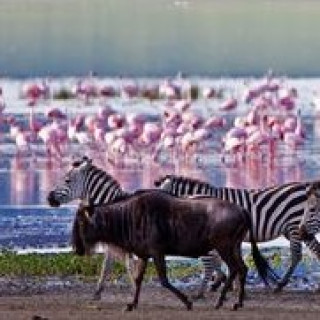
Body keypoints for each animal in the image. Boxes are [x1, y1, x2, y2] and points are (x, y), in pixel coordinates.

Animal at [154, 175, 320, 296]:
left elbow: (216, 259)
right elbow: (221, 260)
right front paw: (226, 283)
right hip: (300, 230)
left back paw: (280, 285)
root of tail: (304, 185)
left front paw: (222, 282)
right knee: (316, 250)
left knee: (296, 256)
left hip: (294, 227)